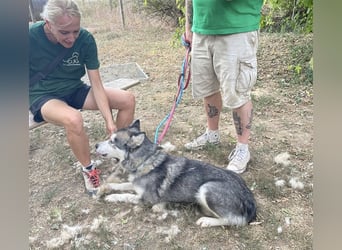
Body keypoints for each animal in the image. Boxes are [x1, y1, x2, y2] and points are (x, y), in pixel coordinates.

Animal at [95, 120, 255, 228]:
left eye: (112, 142)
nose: (95, 145)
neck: (146, 160)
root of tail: (249, 199)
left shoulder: (148, 199)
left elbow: (125, 195)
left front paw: (111, 197)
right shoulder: (135, 184)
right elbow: (121, 185)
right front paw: (104, 188)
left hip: (207, 188)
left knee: (234, 221)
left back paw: (207, 221)